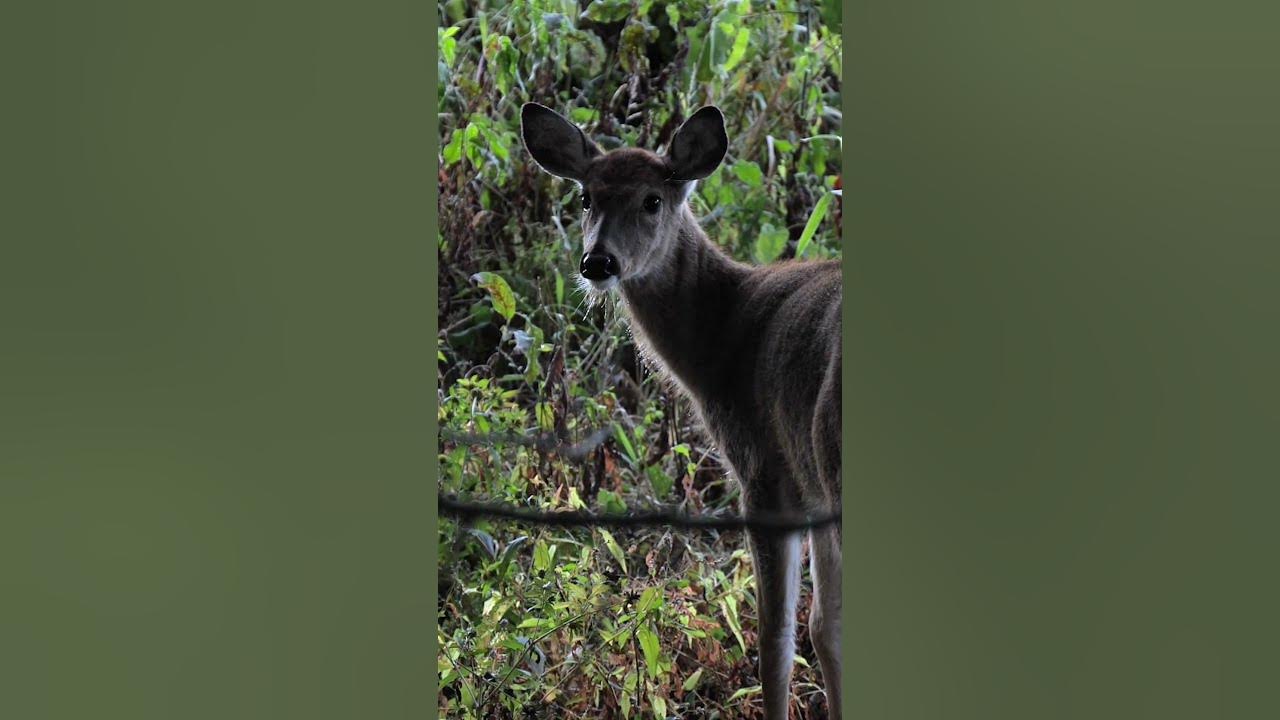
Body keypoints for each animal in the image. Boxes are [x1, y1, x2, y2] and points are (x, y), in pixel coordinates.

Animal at [521, 102, 842, 720]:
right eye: (585, 198)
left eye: (653, 200)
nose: (598, 261)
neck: (723, 334)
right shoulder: (812, 493)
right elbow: (826, 630)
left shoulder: (765, 473)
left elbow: (776, 642)